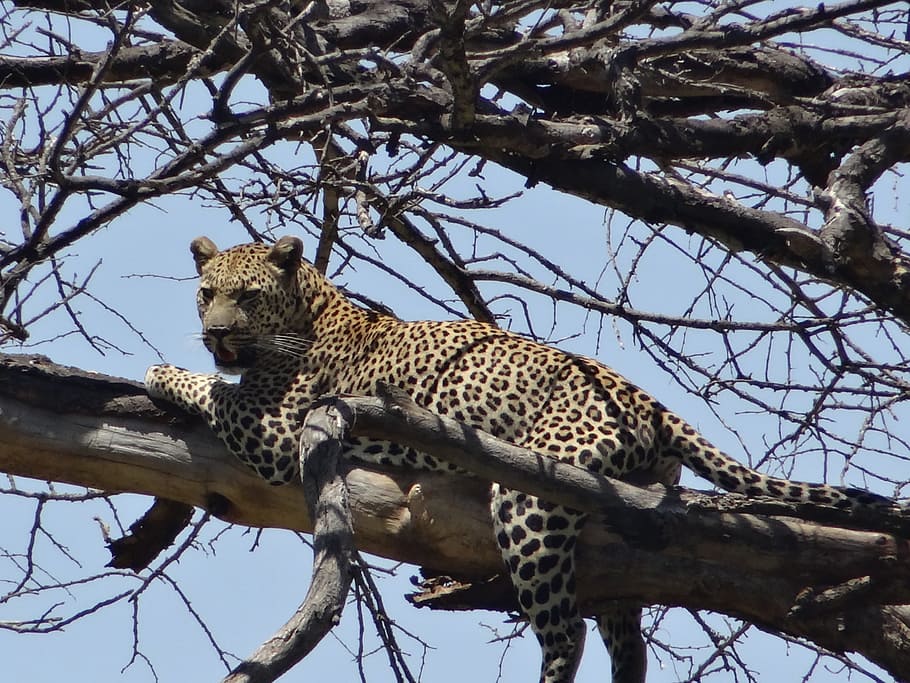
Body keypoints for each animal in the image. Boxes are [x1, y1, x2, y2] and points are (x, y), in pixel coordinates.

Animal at [145, 235, 897, 683]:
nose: (215, 333)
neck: (308, 308)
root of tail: (651, 403)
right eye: (206, 293)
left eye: (245, 296)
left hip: (531, 495)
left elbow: (213, 388)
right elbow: (217, 382)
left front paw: (162, 373)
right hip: (619, 536)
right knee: (626, 631)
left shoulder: (279, 429)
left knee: (566, 633)